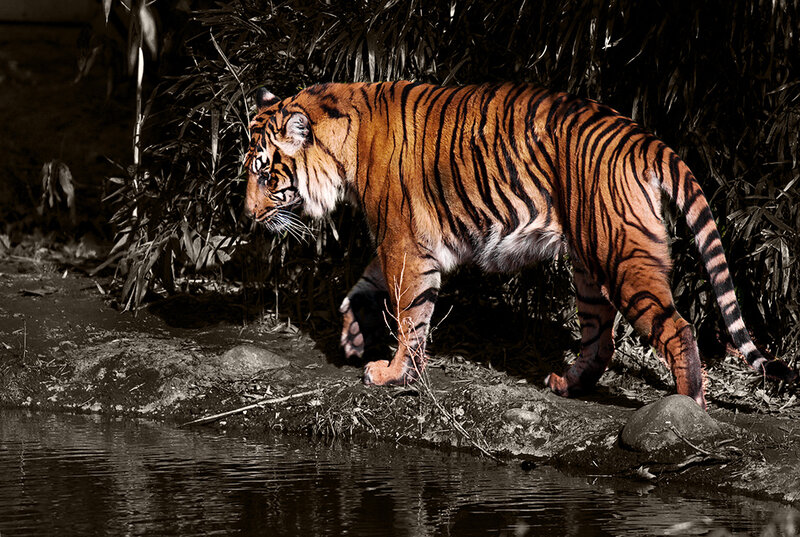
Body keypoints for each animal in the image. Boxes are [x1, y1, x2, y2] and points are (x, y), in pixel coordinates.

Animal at [244, 81, 795, 409]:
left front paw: (392, 373)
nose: (247, 215)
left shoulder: (405, 243)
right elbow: (362, 286)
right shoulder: (400, 247)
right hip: (588, 266)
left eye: (265, 174)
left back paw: (685, 408)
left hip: (622, 258)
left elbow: (410, 316)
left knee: (678, 329)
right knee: (600, 338)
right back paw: (566, 384)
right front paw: (354, 337)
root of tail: (643, 138)